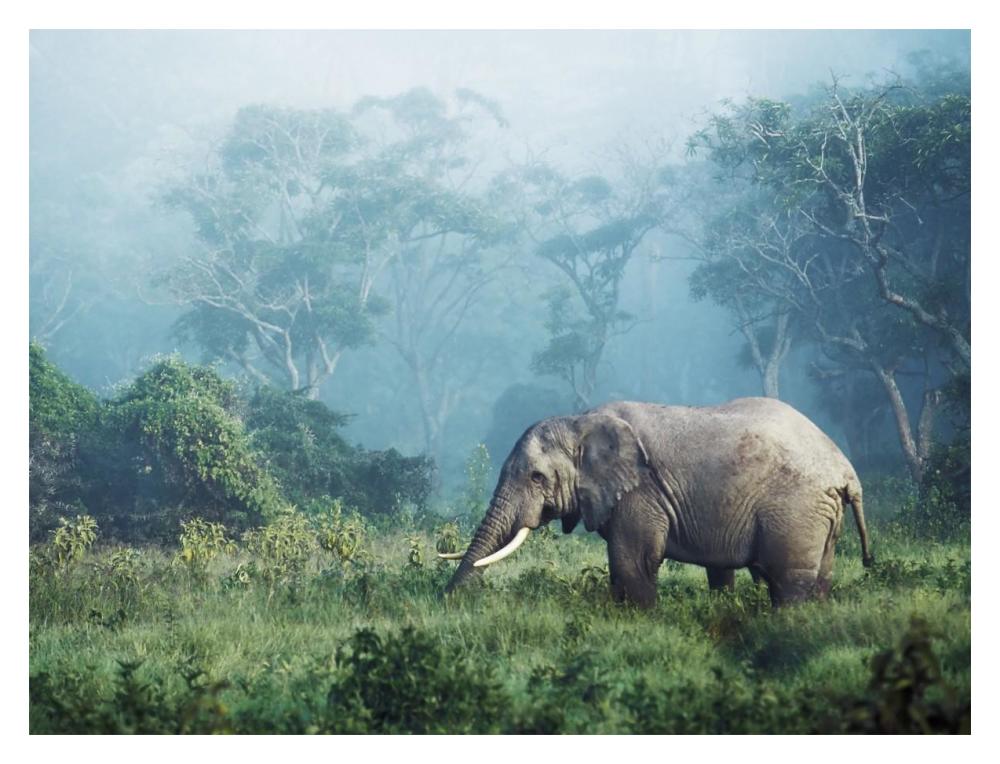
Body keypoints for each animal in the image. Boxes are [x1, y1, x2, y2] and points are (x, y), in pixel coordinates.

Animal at [442, 397, 873, 608]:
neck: (580, 421)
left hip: (796, 508)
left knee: (787, 580)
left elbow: (633, 562)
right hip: (820, 514)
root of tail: (846, 471)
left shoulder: (641, 492)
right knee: (818, 578)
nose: (446, 599)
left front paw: (641, 622)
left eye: (536, 478)